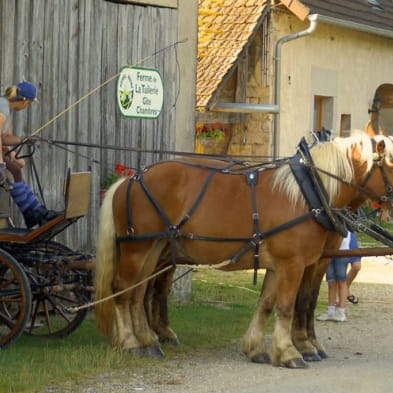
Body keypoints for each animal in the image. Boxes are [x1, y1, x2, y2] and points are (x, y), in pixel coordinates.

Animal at [95, 132, 393, 368]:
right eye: (391, 163)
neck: (309, 193)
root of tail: (128, 180)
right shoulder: (294, 264)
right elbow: (289, 305)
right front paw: (291, 351)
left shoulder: (283, 265)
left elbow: (267, 304)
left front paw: (257, 348)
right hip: (138, 249)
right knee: (123, 290)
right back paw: (131, 342)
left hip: (154, 250)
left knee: (138, 293)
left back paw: (148, 340)